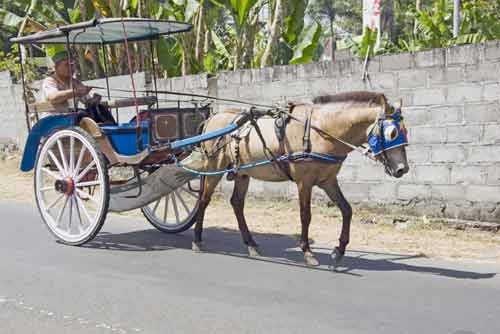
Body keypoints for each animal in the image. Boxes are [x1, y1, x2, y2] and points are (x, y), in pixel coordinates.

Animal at [189, 90, 408, 266]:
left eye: (405, 132)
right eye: (392, 133)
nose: (402, 169)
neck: (319, 131)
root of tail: (212, 119)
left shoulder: (328, 181)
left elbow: (346, 210)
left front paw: (339, 251)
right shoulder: (305, 182)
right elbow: (305, 215)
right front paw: (307, 251)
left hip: (242, 173)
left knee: (236, 203)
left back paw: (251, 244)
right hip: (214, 167)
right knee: (204, 200)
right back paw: (197, 240)